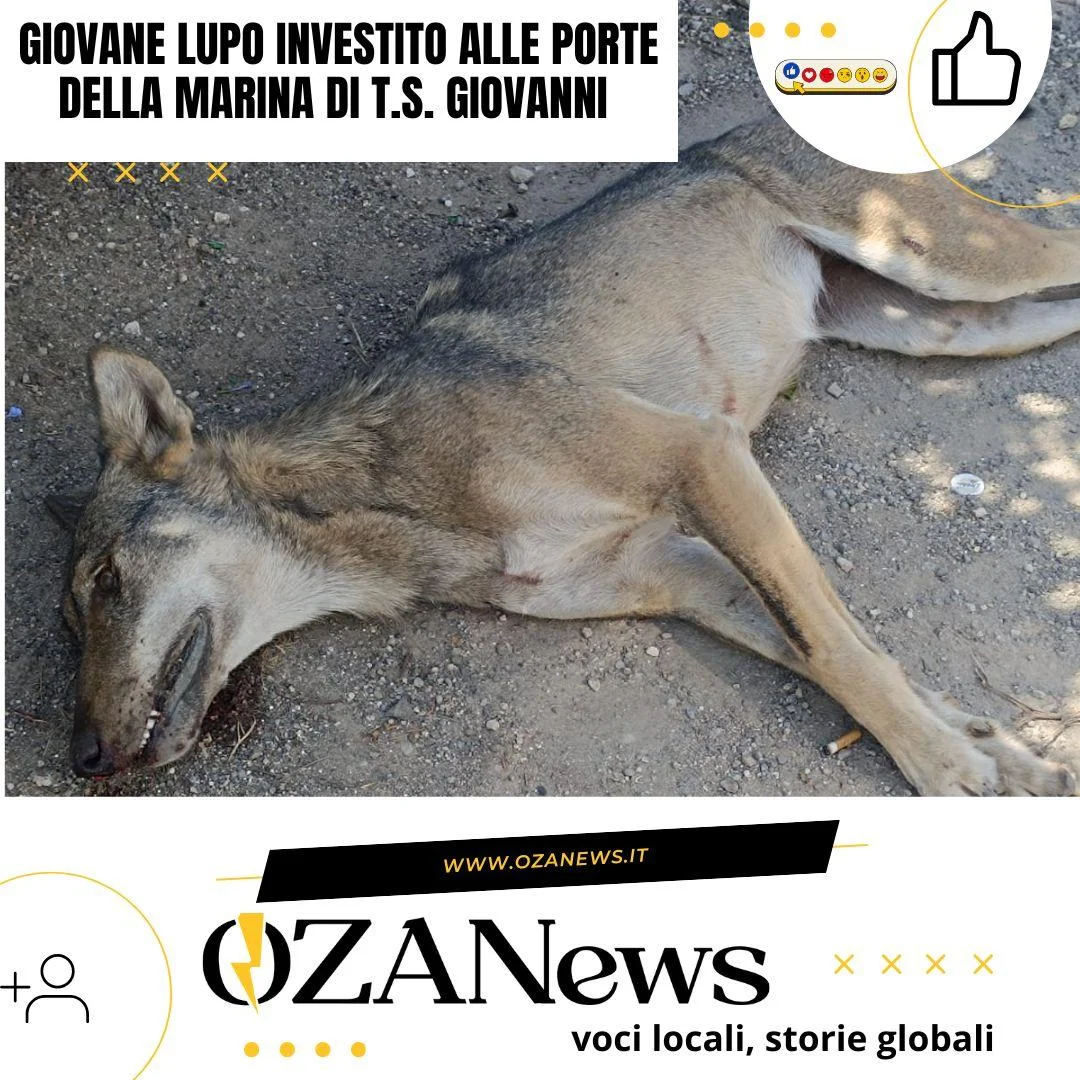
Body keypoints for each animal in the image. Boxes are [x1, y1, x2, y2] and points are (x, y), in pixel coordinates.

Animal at [50, 121, 1080, 795]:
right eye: (69, 620)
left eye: (106, 581)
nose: (83, 759)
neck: (394, 498)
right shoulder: (683, 573)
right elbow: (843, 651)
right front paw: (996, 747)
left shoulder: (703, 457)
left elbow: (832, 643)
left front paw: (946, 766)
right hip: (955, 327)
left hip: (959, 266)